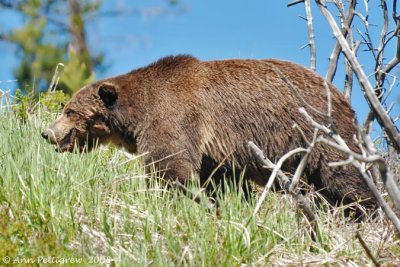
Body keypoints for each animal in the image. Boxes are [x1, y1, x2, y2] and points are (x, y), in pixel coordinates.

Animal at [42, 55, 376, 214]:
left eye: (69, 111)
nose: (47, 133)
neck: (137, 113)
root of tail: (342, 96)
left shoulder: (175, 118)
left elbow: (170, 169)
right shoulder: (213, 152)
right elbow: (221, 183)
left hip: (321, 135)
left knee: (345, 180)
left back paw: (367, 211)